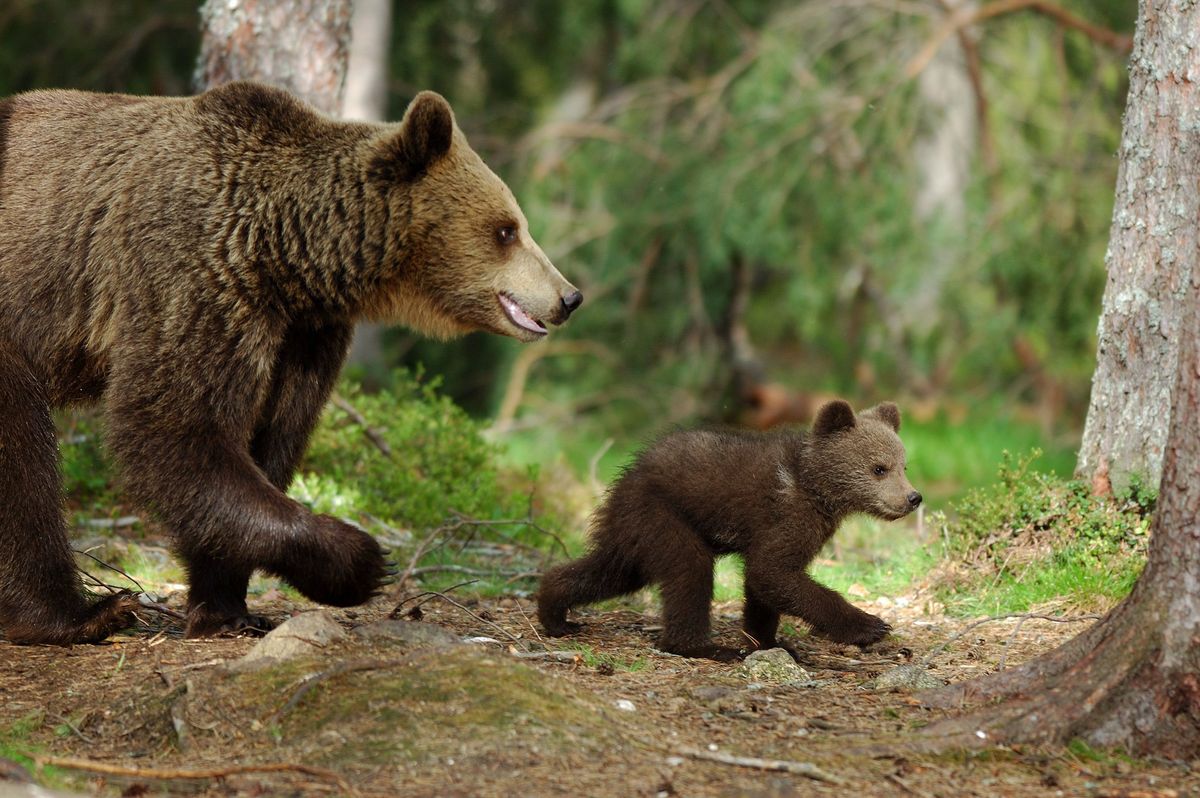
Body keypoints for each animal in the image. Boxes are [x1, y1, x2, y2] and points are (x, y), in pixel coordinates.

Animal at [0, 82, 580, 643]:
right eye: (506, 230)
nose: (569, 296)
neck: (280, 251)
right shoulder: (189, 275)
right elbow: (172, 426)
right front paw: (362, 562)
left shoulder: (301, 334)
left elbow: (269, 438)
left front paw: (226, 607)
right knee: (24, 464)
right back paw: (78, 615)